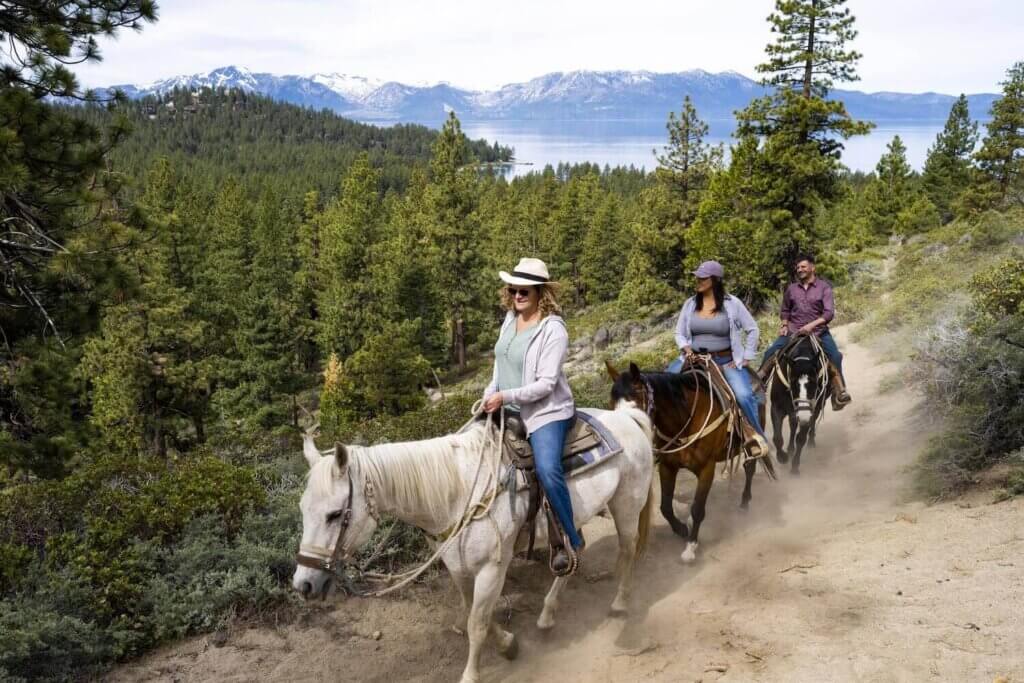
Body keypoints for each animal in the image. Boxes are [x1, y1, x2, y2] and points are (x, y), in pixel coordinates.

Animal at [292, 401, 651, 683]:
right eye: (303, 509)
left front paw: (472, 674)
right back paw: (548, 615)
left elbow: (477, 623)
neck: (458, 491)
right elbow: (475, 614)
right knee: (575, 553)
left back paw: (620, 603)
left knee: (628, 548)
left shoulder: (492, 568)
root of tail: (627, 416)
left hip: (626, 504)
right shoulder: (459, 568)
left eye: (335, 514)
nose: (303, 585)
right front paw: (508, 644)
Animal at [602, 360, 770, 565]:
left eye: (634, 406)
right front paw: (682, 529)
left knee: (750, 468)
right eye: (611, 405)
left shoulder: (707, 469)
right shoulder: (668, 467)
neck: (685, 419)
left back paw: (745, 503)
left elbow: (697, 508)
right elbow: (665, 507)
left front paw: (690, 546)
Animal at [770, 335, 831, 475]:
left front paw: (794, 467)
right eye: (792, 381)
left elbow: (801, 438)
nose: (802, 415)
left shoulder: (809, 412)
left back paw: (811, 442)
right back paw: (789, 450)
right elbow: (777, 437)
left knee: (810, 424)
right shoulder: (776, 407)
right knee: (793, 425)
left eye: (815, 382)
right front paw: (782, 457)